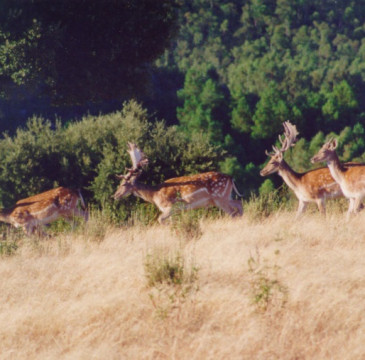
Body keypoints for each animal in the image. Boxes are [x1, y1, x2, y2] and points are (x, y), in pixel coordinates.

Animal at [113, 141, 242, 222]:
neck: (155, 195)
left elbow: (160, 219)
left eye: (123, 184)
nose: (115, 196)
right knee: (239, 204)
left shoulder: (172, 206)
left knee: (233, 213)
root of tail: (231, 178)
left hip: (219, 198)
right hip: (225, 197)